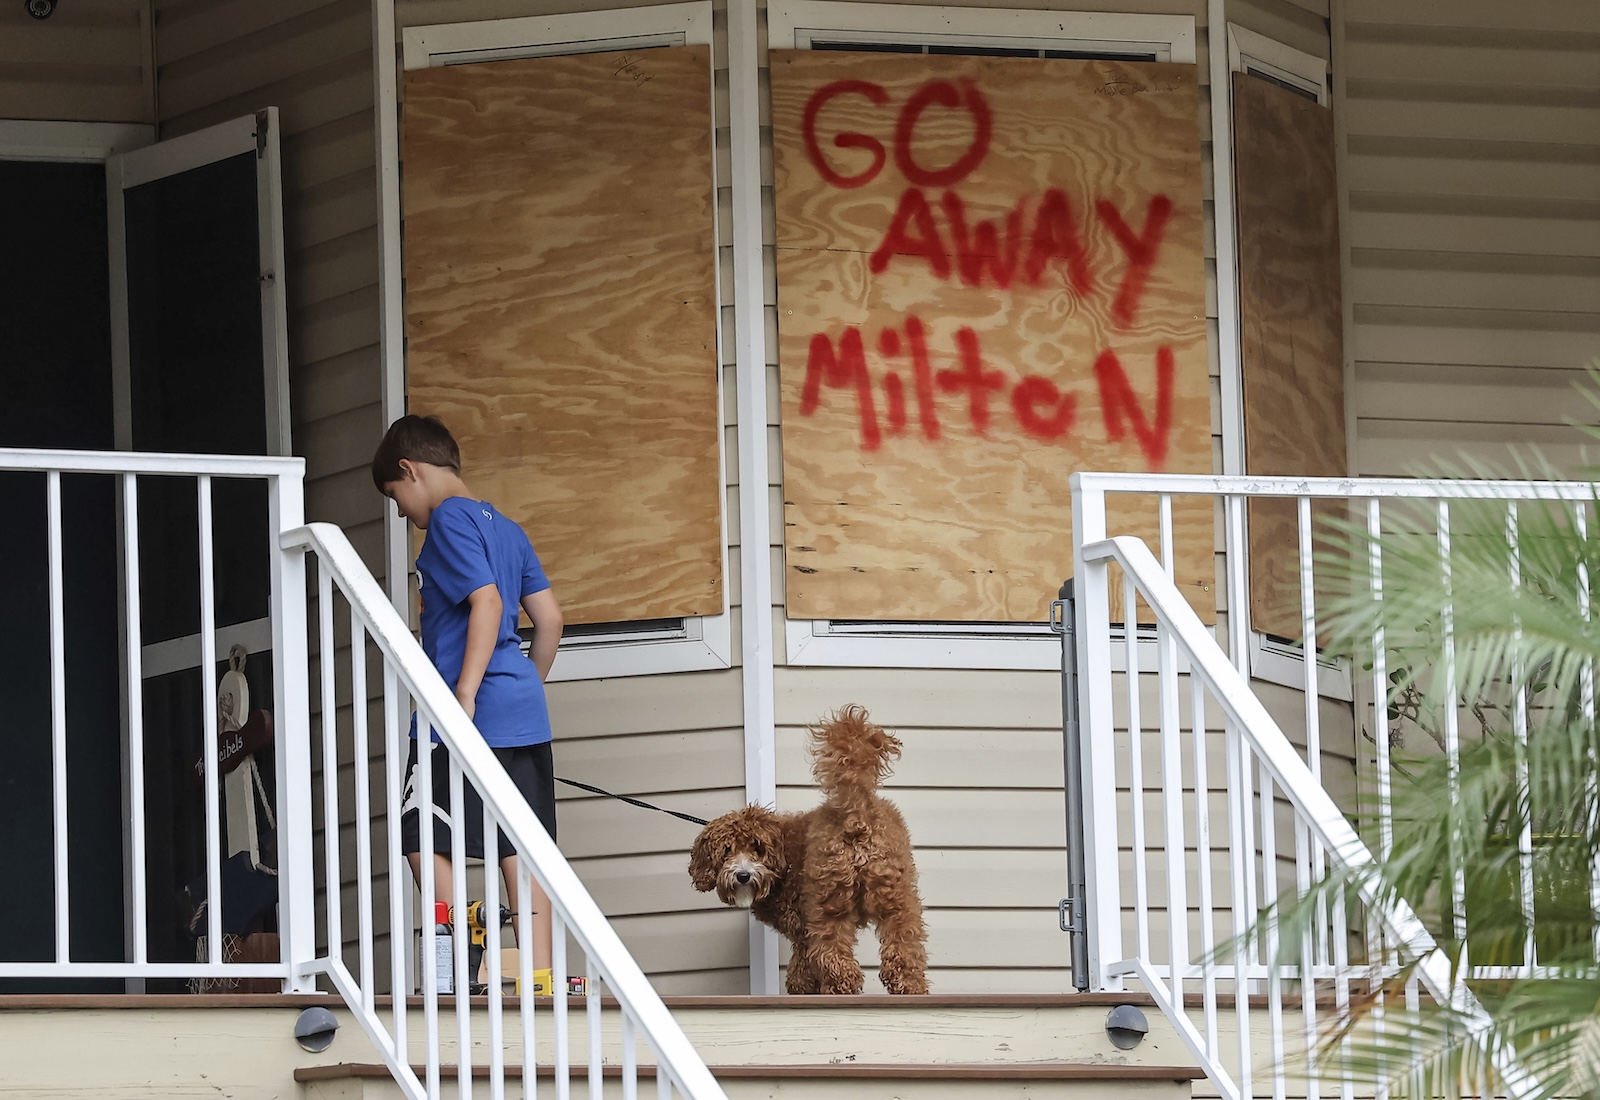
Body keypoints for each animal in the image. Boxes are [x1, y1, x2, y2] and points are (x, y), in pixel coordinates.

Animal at [684, 703, 928, 997]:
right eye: (727, 850)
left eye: (757, 848)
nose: (743, 875)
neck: (782, 862)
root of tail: (856, 812)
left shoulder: (802, 927)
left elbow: (802, 966)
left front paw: (802, 988)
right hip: (894, 893)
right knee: (905, 940)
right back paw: (910, 985)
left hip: (828, 900)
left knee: (834, 951)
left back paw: (839, 988)